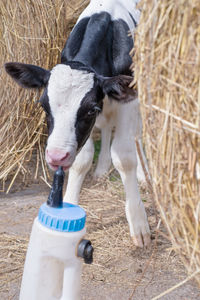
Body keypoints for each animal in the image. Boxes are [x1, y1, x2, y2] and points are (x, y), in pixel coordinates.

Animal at [5, 0, 150, 247]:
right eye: (43, 106)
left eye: (90, 109)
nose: (55, 156)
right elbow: (82, 159)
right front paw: (69, 205)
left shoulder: (128, 99)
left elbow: (124, 156)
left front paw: (139, 222)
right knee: (107, 128)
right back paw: (101, 168)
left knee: (137, 134)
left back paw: (143, 174)